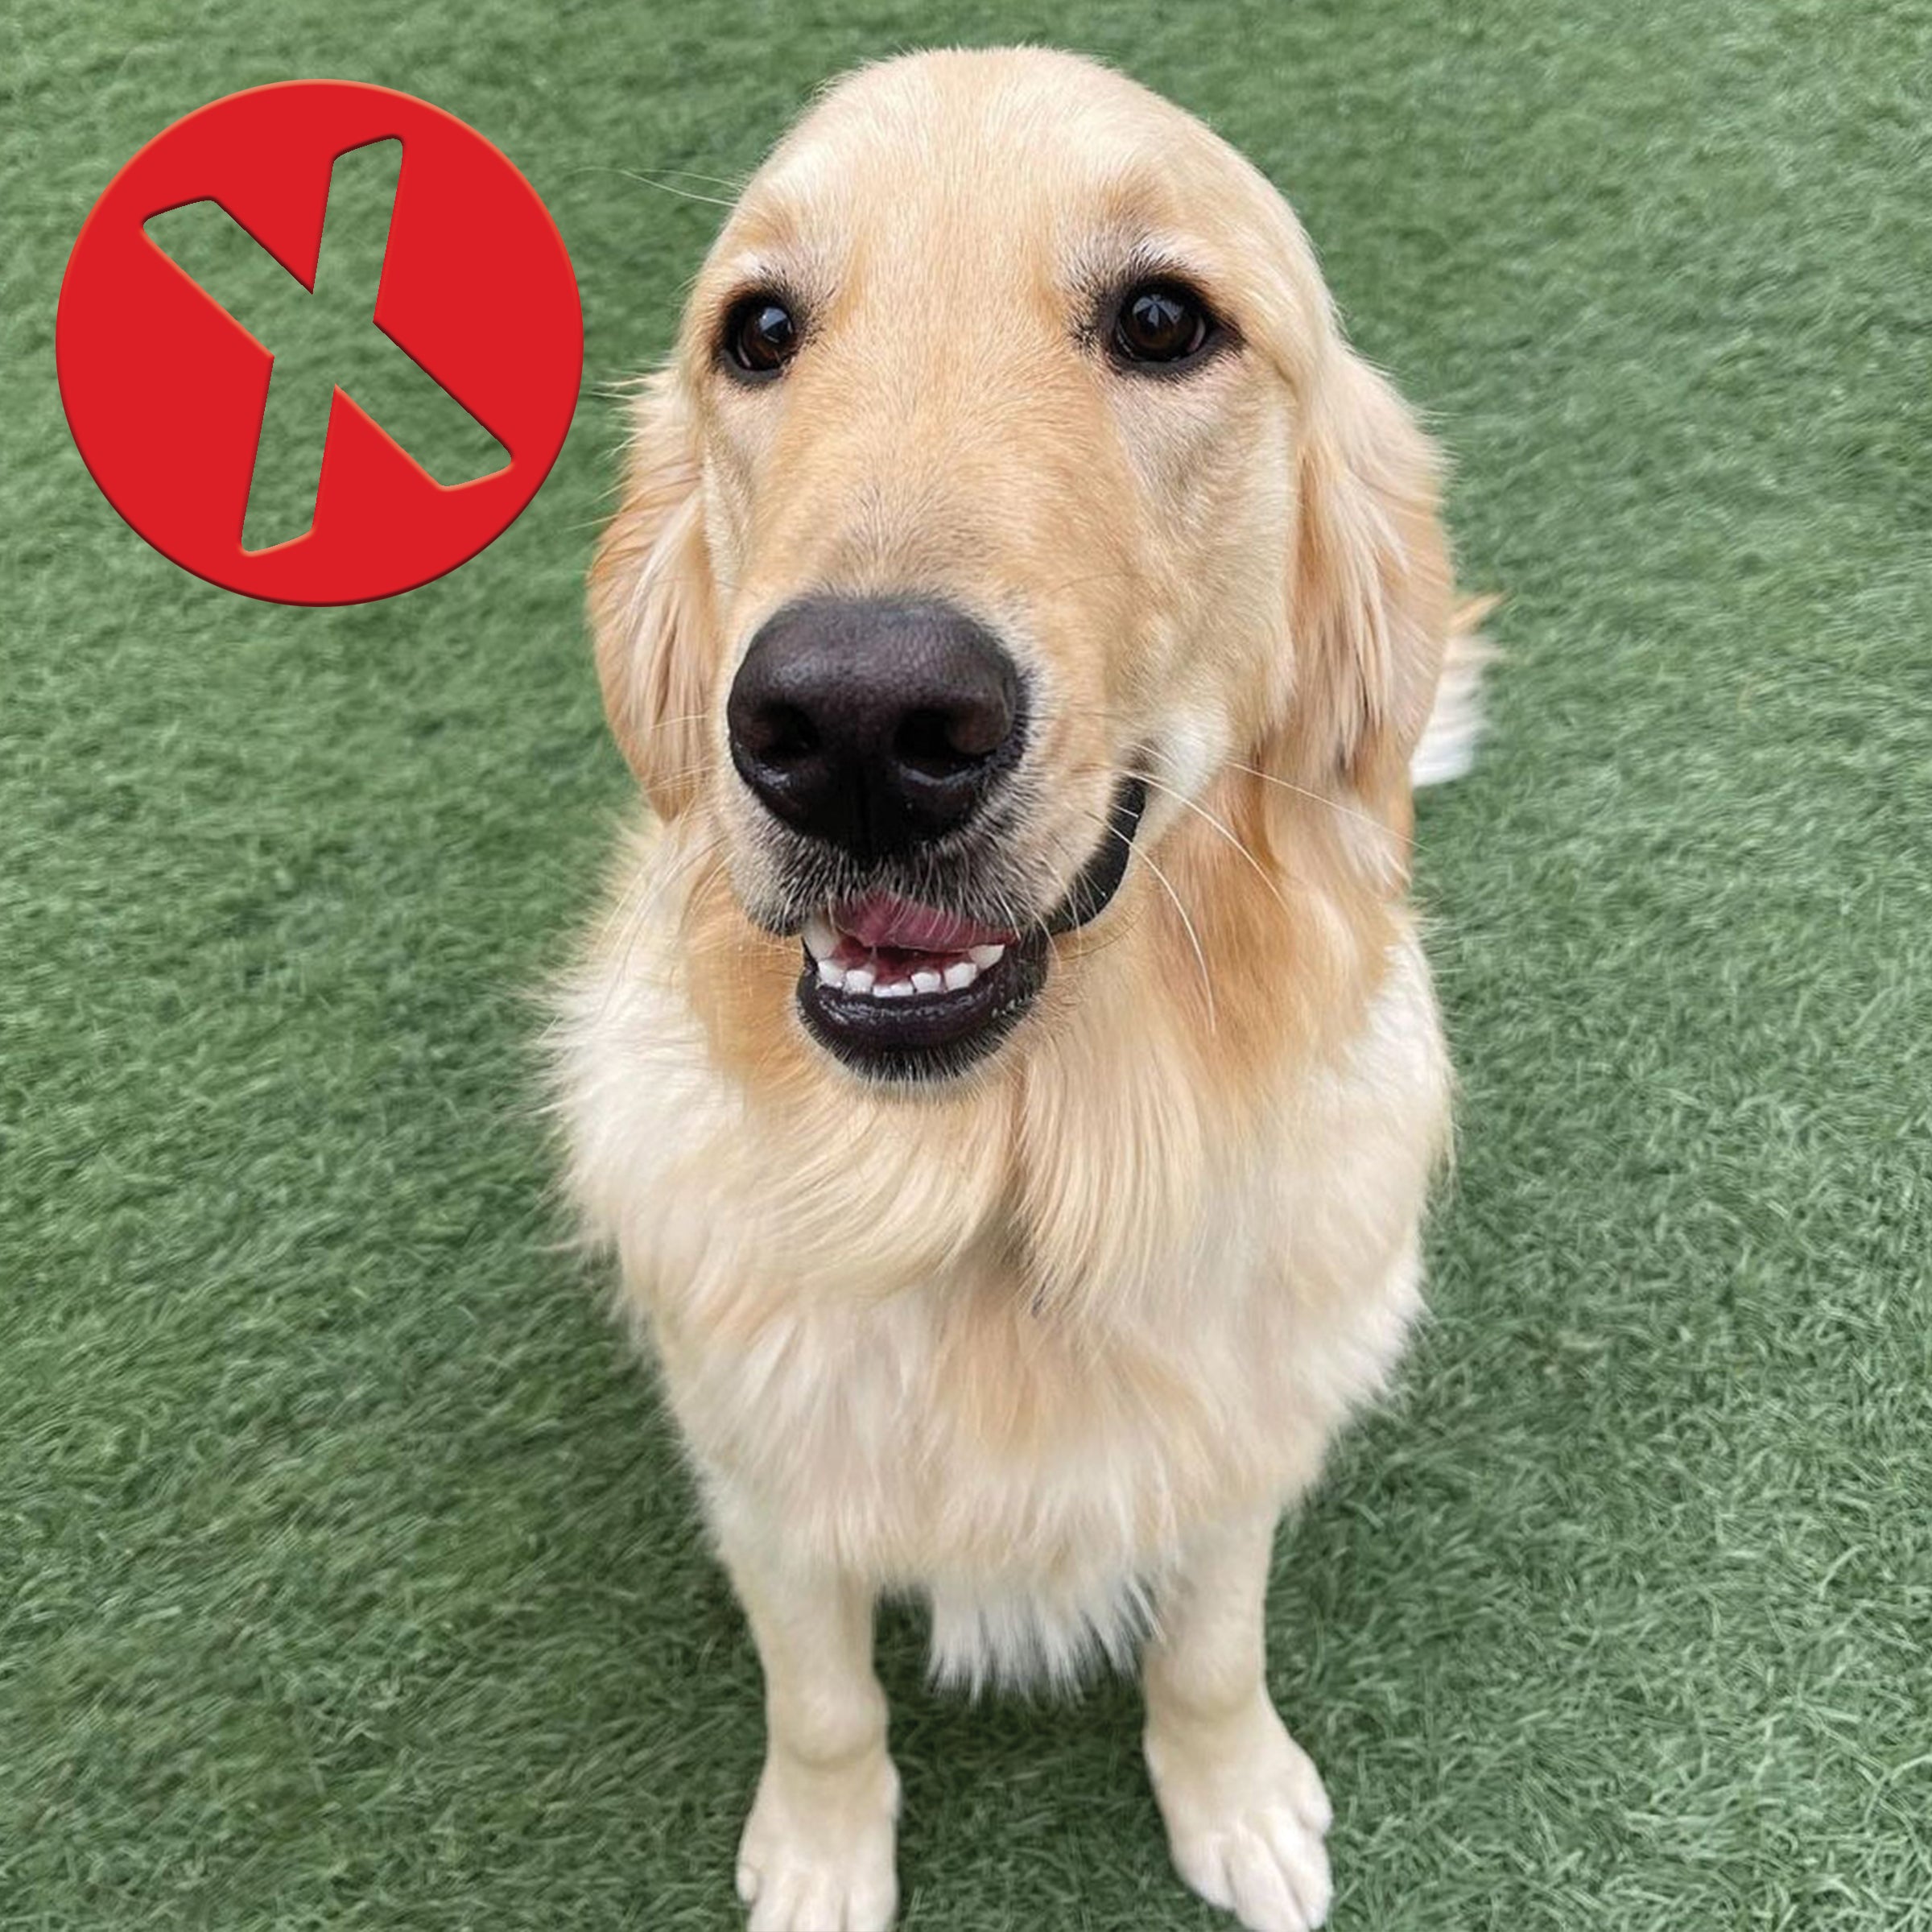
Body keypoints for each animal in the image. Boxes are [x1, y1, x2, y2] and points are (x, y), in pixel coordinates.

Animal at [552, 48, 1484, 1932]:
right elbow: (823, 1696)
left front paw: (1233, 1798)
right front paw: (823, 1850)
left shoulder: (1245, 1436)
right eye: (760, 330)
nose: (852, 722)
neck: (1000, 1186)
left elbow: (1208, 1646)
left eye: (1163, 318)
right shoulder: (764, 1475)